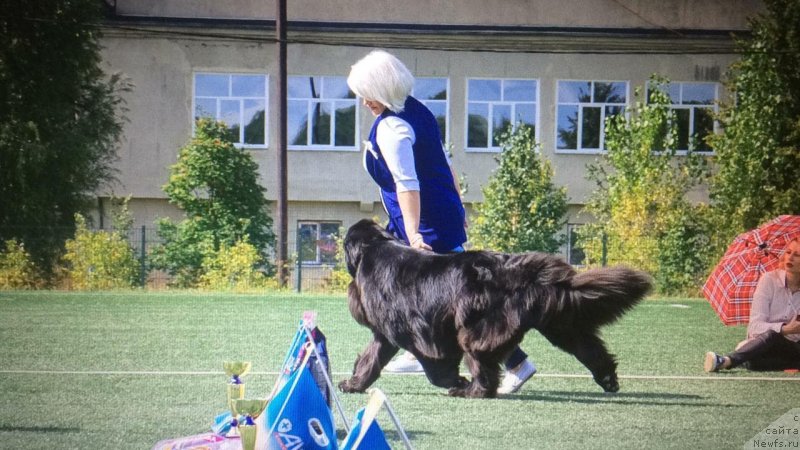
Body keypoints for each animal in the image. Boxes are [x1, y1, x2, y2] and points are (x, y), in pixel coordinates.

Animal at [338, 220, 648, 400]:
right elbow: (370, 359)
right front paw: (353, 384)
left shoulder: (417, 334)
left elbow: (435, 367)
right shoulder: (384, 334)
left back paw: (471, 390)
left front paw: (455, 380)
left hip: (474, 329)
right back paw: (608, 379)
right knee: (588, 347)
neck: (375, 247)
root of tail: (519, 271)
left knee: (482, 364)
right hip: (561, 323)